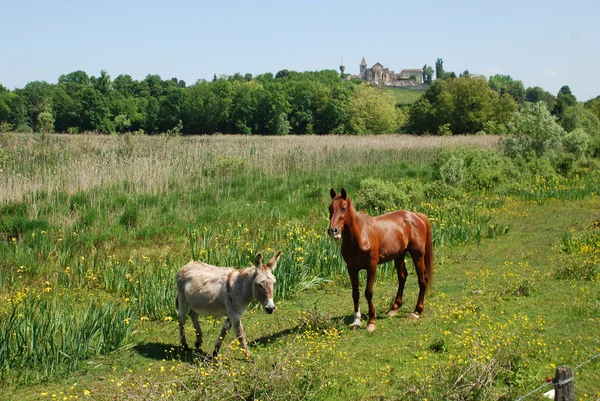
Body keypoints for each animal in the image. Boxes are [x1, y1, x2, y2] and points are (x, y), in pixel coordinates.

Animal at [328, 188, 432, 332]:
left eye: (343, 208)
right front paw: (356, 321)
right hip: (399, 256)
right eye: (330, 208)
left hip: (418, 256)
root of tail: (415, 216)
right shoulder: (352, 269)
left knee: (422, 280)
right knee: (402, 277)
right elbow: (355, 293)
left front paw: (371, 321)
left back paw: (416, 311)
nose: (333, 230)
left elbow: (368, 292)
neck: (360, 235)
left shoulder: (372, 266)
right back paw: (394, 308)